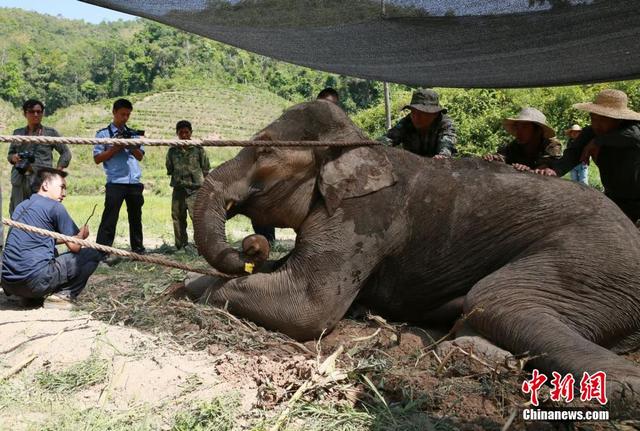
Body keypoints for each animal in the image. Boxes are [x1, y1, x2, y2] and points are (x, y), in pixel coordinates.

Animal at [192, 98, 640, 416]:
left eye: (265, 150)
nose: (251, 245)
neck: (357, 145)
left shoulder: (365, 216)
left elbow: (307, 307)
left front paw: (194, 291)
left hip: (592, 262)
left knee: (496, 298)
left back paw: (622, 387)